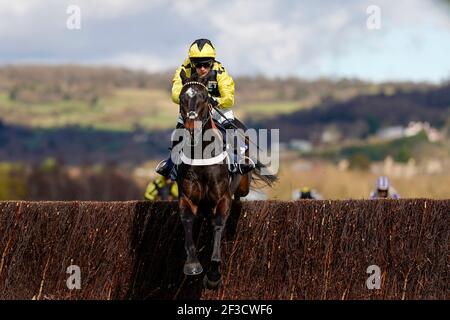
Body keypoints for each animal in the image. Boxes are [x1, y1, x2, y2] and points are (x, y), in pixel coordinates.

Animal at [175, 79, 274, 288]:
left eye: (204, 97)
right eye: (181, 97)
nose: (192, 128)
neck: (201, 154)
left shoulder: (222, 198)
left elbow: (218, 225)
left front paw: (213, 274)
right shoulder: (187, 197)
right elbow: (187, 221)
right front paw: (192, 264)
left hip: (244, 185)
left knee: (239, 196)